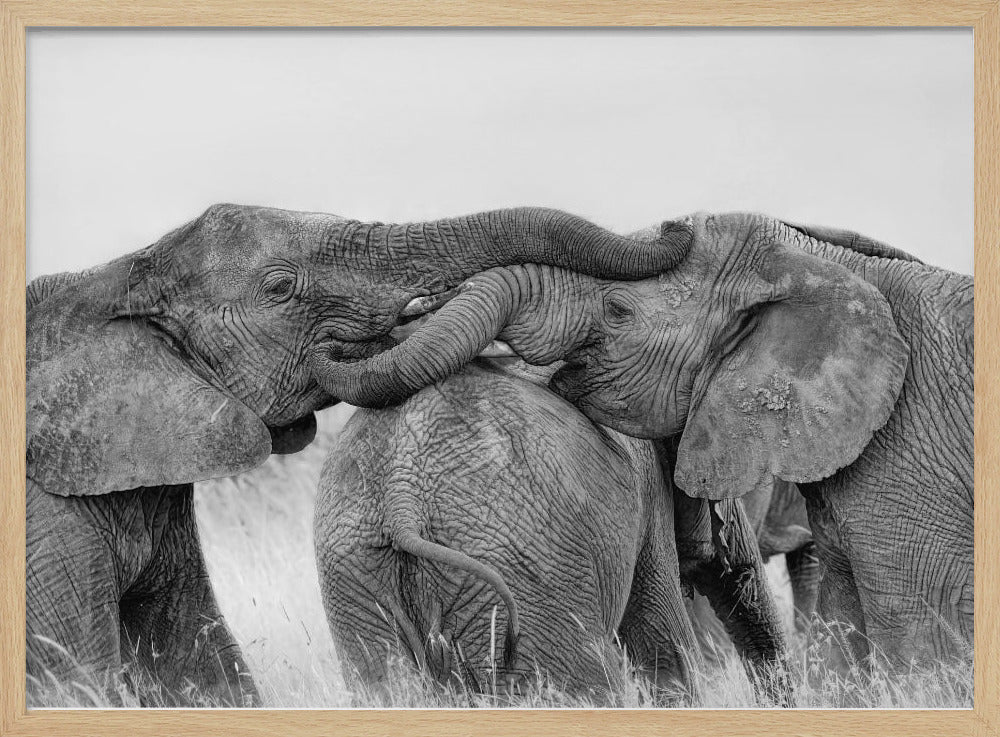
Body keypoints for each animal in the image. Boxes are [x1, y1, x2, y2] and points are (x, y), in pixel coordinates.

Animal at [25, 203, 689, 706]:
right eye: (279, 288)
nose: (676, 226)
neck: (110, 280)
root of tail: (402, 491)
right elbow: (77, 679)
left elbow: (194, 656)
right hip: (531, 567)